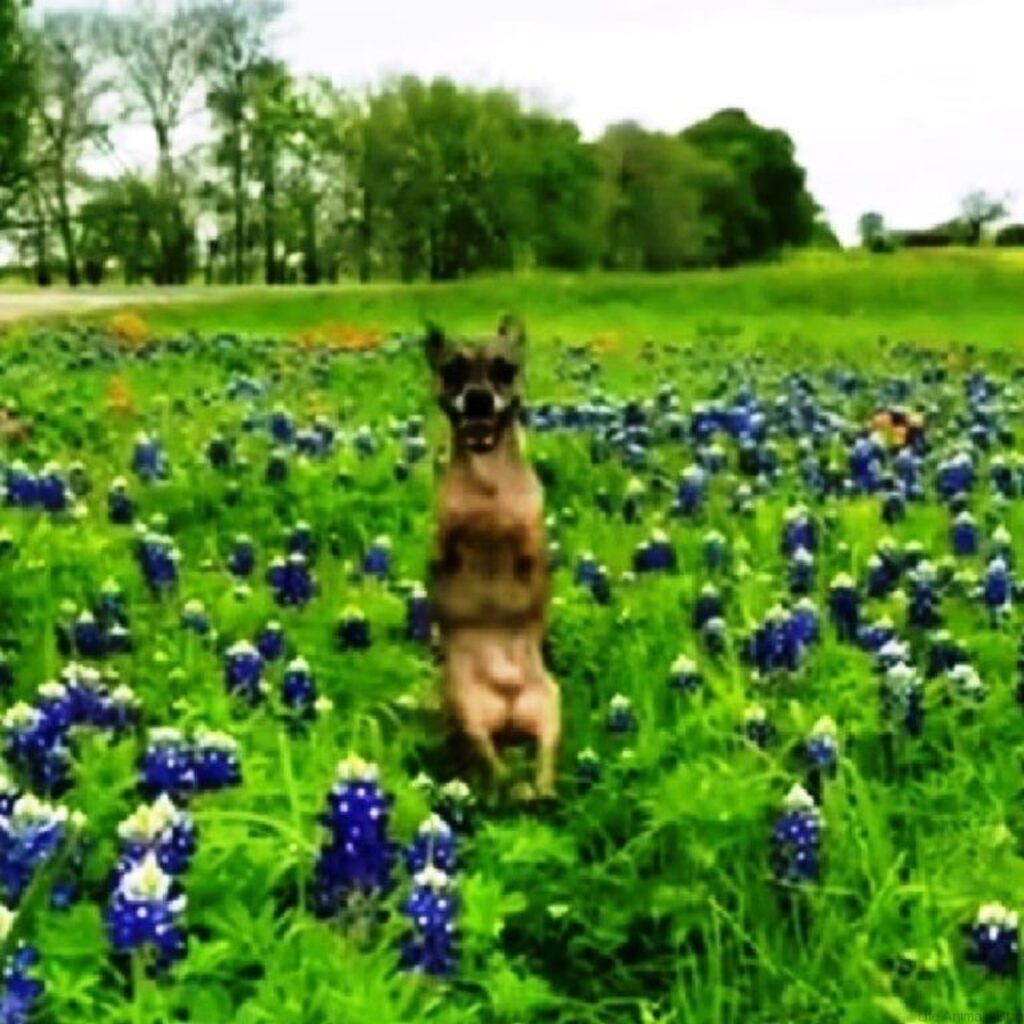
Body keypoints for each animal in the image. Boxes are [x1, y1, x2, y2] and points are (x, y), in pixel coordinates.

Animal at [428, 315, 565, 794]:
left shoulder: (528, 536)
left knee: (543, 761)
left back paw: (540, 789)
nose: (478, 396)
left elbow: (527, 554)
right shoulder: (447, 537)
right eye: (453, 370)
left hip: (551, 707)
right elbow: (445, 561)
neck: (489, 486)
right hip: (468, 711)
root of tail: (508, 705)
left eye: (504, 369)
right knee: (492, 767)